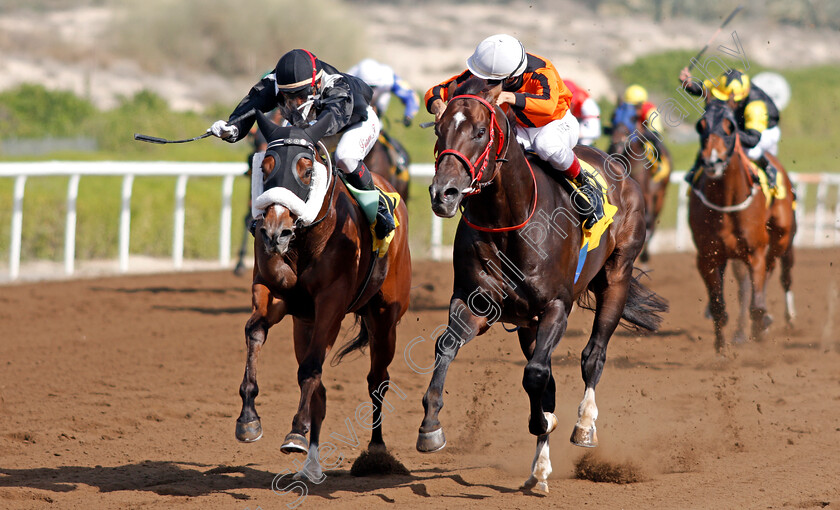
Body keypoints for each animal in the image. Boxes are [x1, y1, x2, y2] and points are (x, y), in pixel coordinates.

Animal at [235, 109, 412, 480]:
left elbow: (311, 370)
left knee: (377, 380)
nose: (274, 231)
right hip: (304, 325)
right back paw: (312, 466)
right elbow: (254, 332)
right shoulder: (276, 294)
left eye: (306, 169)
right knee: (321, 391)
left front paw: (294, 432)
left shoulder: (331, 302)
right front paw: (248, 419)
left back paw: (377, 452)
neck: (304, 240)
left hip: (384, 318)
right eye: (265, 166)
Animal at [608, 102, 672, 264]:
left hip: (660, 194)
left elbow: (646, 222)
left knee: (652, 221)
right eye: (614, 115)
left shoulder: (645, 194)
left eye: (633, 117)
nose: (617, 141)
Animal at [684, 99, 796, 354]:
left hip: (782, 237)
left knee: (778, 271)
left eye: (730, 127)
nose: (712, 161)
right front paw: (721, 351)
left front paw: (759, 334)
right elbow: (719, 307)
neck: (726, 201)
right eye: (701, 125)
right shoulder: (708, 257)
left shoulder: (755, 253)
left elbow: (757, 307)